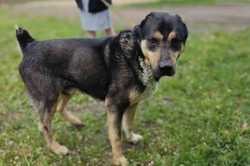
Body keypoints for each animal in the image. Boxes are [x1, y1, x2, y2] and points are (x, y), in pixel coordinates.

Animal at [16, 12, 188, 166]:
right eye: (153, 40)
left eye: (176, 41)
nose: (166, 67)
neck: (136, 55)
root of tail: (29, 44)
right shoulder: (114, 105)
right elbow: (116, 136)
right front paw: (119, 159)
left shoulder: (133, 103)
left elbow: (128, 124)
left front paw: (131, 138)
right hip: (49, 97)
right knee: (44, 125)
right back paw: (56, 148)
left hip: (69, 89)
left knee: (59, 108)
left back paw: (76, 122)